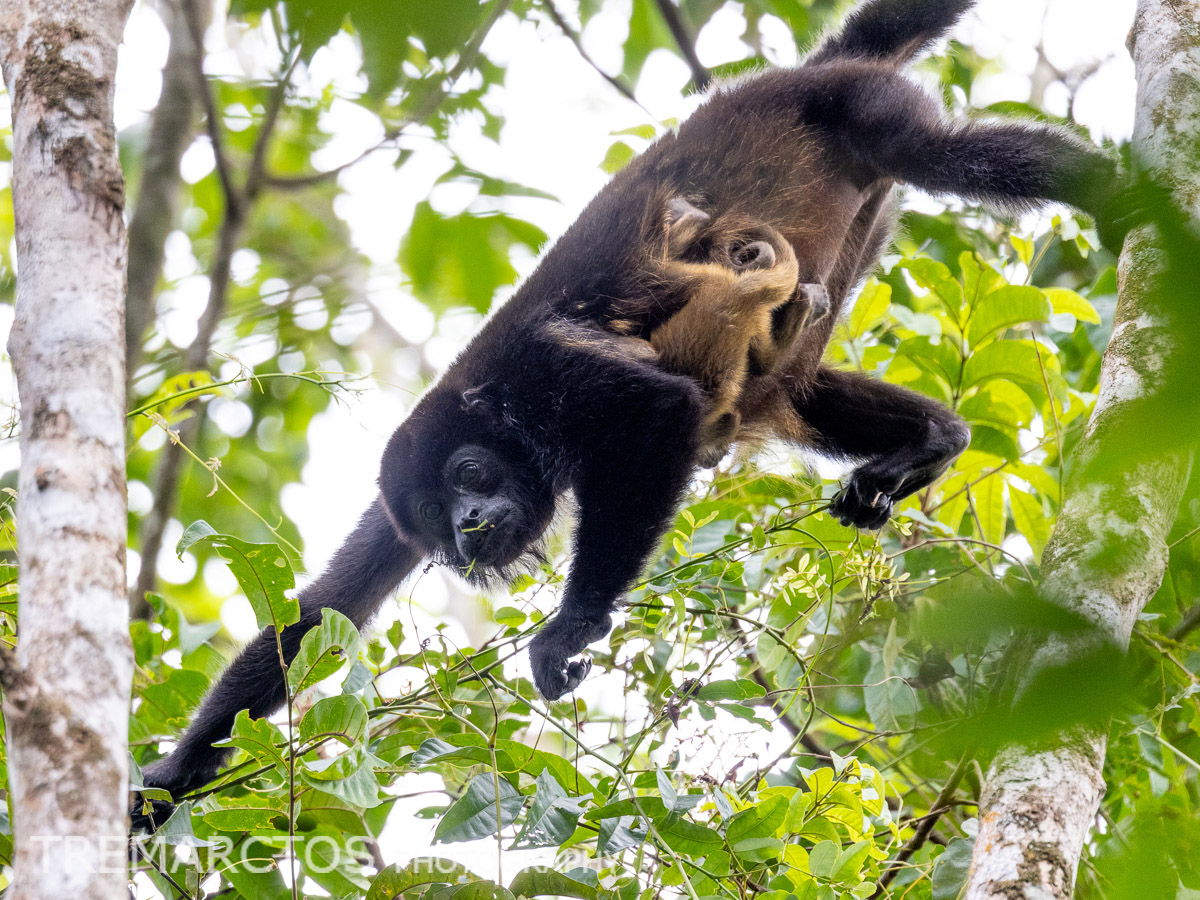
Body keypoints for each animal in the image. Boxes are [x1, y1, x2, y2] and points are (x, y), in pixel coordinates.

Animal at [132, 0, 1144, 830]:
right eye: (435, 521)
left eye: (469, 476)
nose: (467, 529)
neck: (494, 409)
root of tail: (800, 70)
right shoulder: (395, 511)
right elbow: (320, 615)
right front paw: (164, 785)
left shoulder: (547, 373)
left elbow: (662, 412)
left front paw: (569, 628)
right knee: (791, 385)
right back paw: (933, 441)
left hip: (866, 109)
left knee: (942, 153)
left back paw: (1121, 193)